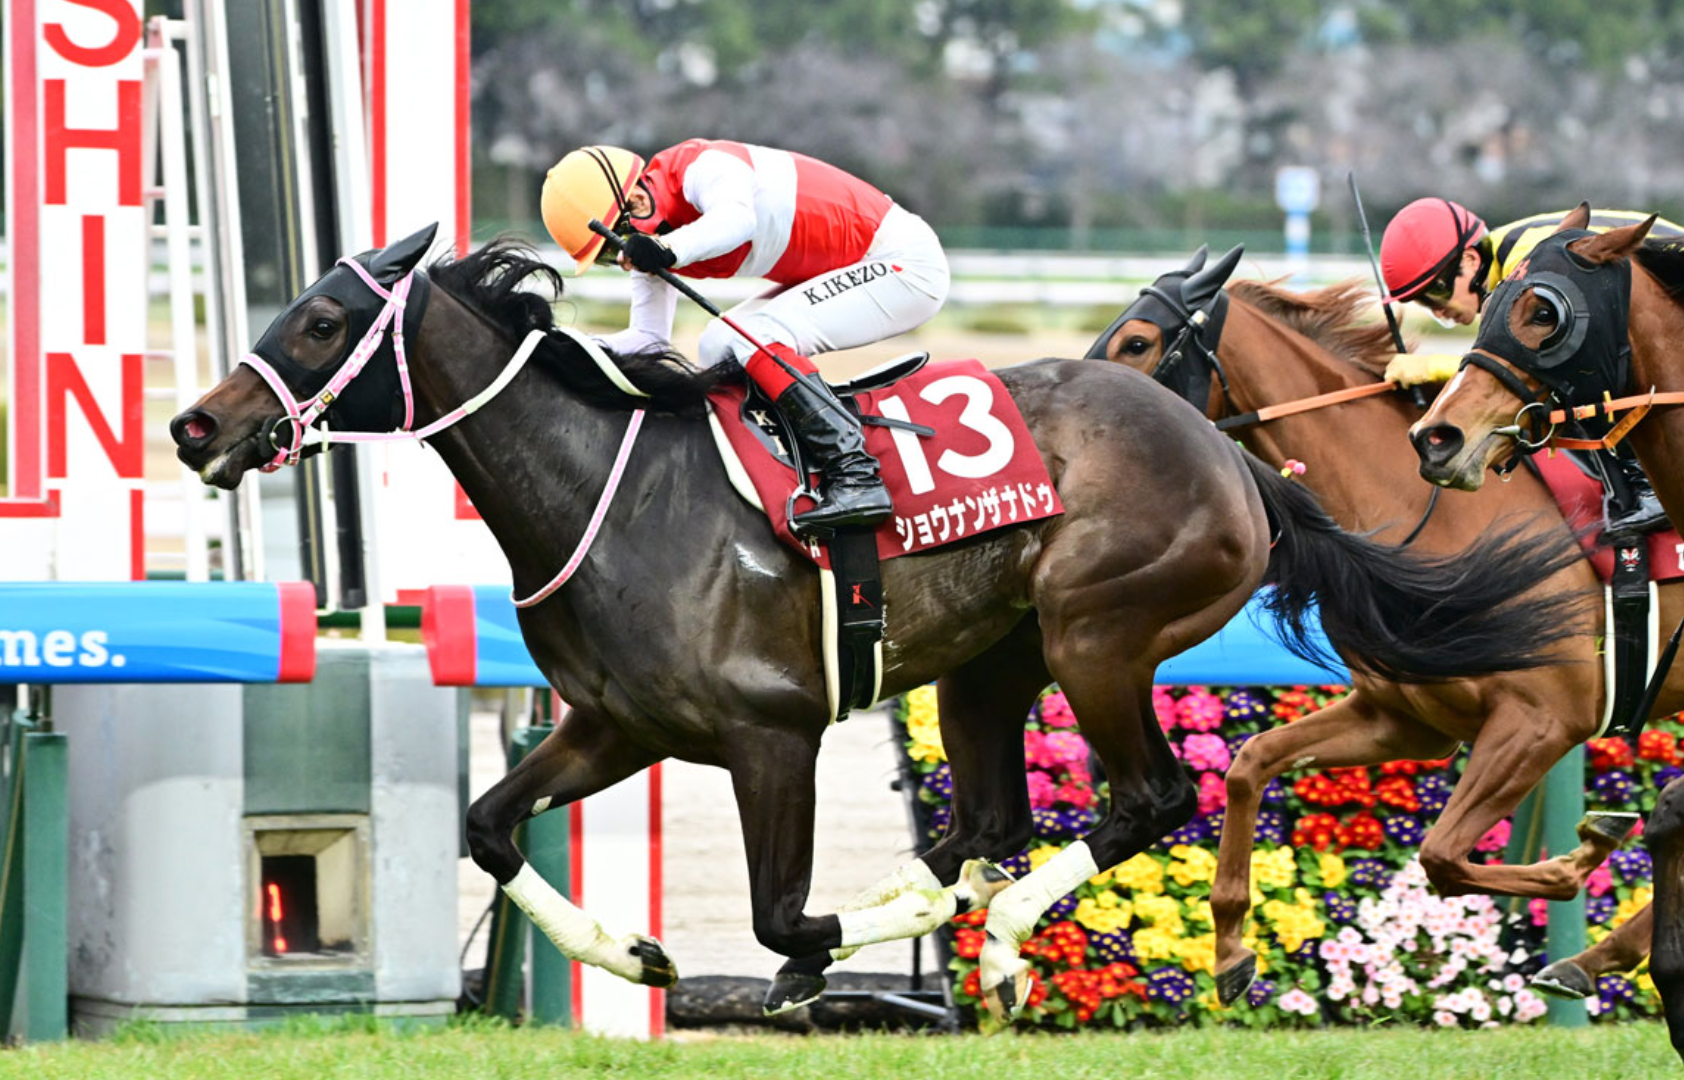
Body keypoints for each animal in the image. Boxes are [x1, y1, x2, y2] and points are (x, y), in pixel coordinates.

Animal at [169, 225, 1587, 1023]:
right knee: (1001, 818)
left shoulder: (772, 734)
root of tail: (1235, 456)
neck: (608, 491)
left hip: (1097, 633)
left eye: (321, 320)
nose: (194, 425)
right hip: (993, 665)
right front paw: (635, 955)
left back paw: (1003, 944)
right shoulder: (620, 726)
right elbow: (485, 826)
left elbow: (782, 921)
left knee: (1144, 800)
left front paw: (816, 962)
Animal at [1092, 245, 1676, 1007]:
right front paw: (1230, 951)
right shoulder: (1404, 717)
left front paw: (1583, 857)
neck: (1438, 517)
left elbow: (1442, 856)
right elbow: (1251, 764)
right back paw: (1598, 955)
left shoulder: (1544, 719)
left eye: (1137, 342)